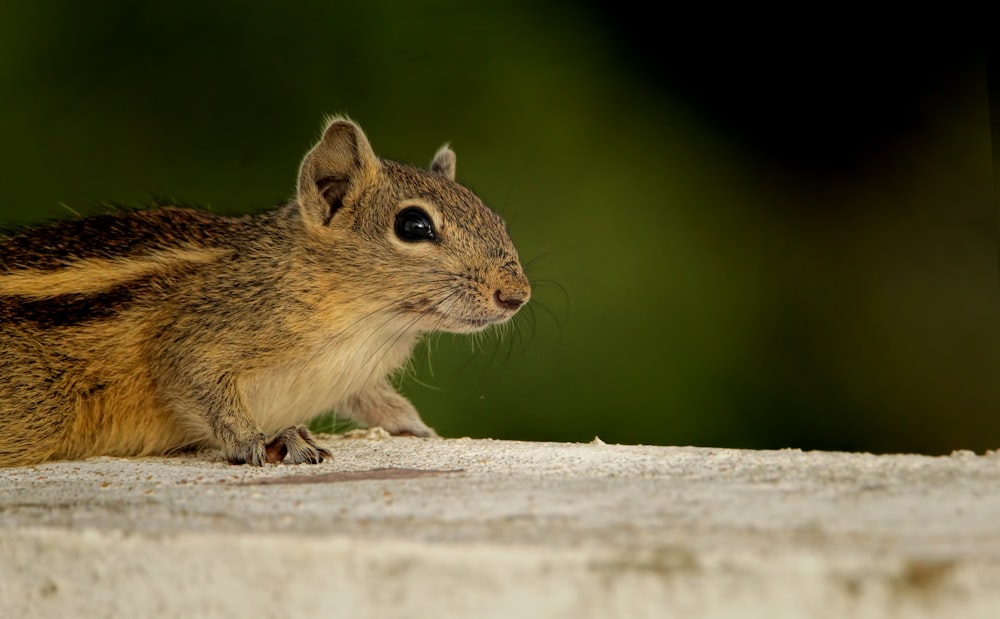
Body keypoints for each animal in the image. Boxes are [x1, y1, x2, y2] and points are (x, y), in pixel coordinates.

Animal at [0, 116, 532, 468]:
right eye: (413, 225)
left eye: (494, 217)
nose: (516, 295)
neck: (369, 320)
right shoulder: (201, 331)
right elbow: (196, 379)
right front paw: (262, 440)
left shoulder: (355, 376)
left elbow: (376, 400)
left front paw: (417, 427)